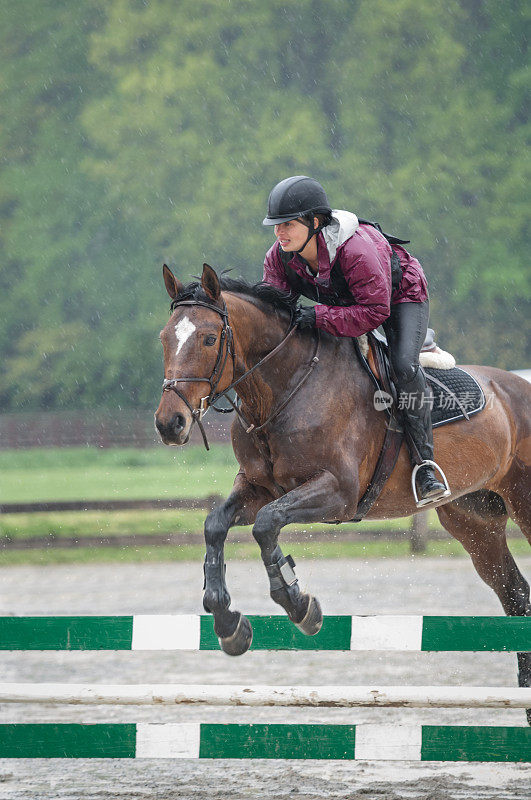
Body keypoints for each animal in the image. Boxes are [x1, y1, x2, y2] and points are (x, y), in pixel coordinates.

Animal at [155, 264, 531, 720]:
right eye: (164, 338)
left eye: (210, 338)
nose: (169, 424)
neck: (285, 387)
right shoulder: (259, 487)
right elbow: (217, 524)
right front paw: (228, 623)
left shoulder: (338, 492)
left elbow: (267, 524)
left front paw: (300, 605)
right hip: (474, 521)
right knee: (516, 597)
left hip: (524, 502)